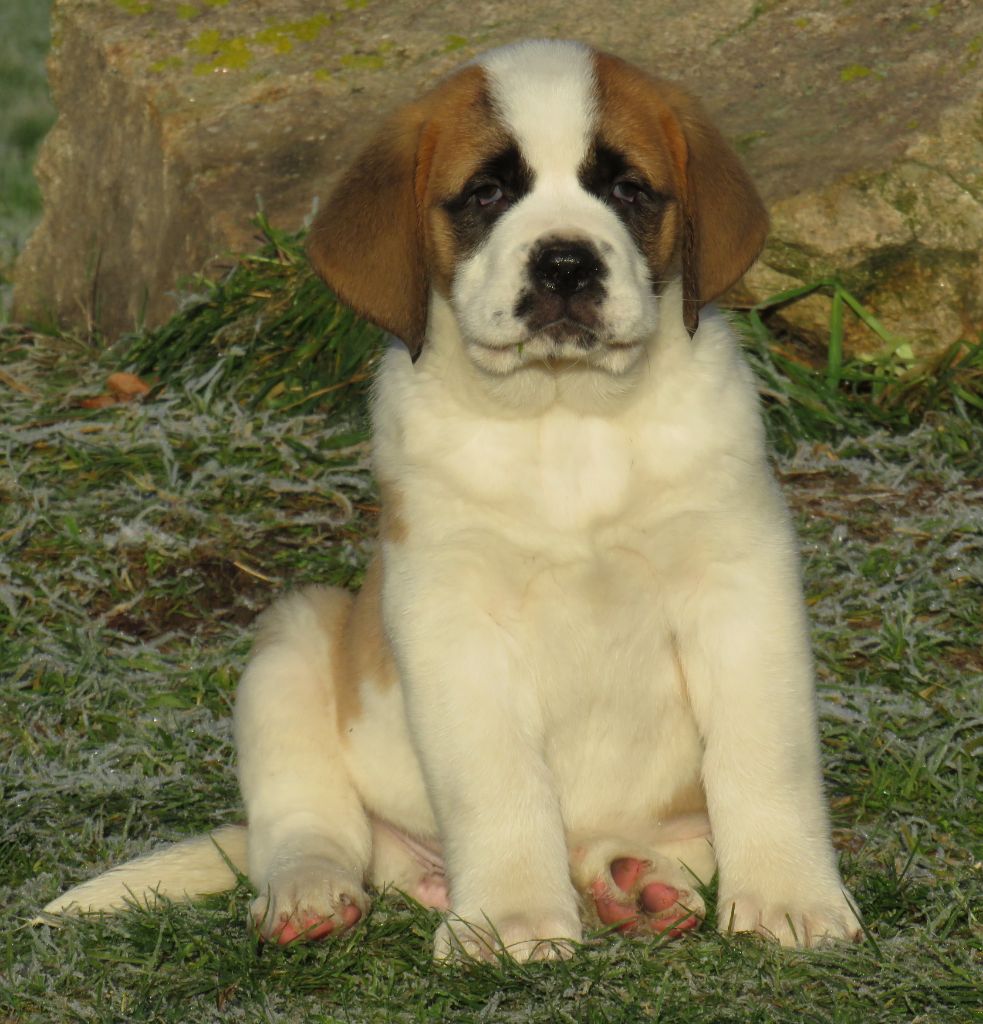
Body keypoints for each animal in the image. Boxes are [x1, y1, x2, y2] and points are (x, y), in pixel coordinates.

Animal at [42, 39, 864, 962]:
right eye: (486, 195)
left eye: (627, 190)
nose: (566, 263)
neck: (565, 420)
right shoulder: (451, 615)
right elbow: (495, 778)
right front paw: (509, 919)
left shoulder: (738, 584)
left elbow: (764, 757)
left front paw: (788, 897)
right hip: (295, 638)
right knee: (310, 822)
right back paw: (310, 893)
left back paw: (637, 884)